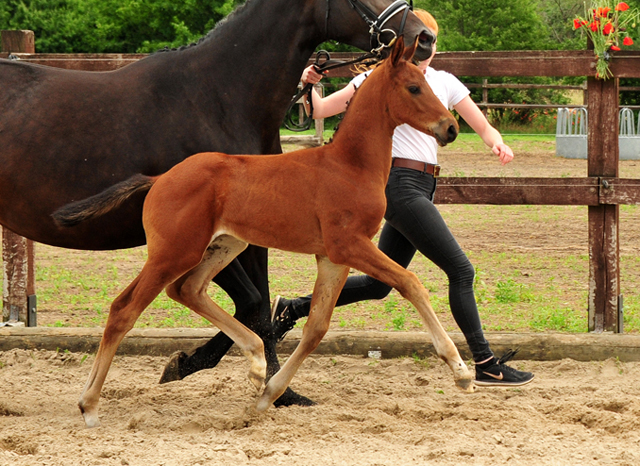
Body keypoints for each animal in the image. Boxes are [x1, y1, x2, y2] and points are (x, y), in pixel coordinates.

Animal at [52, 38, 476, 428]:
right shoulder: (350, 245)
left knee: (188, 290)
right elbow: (411, 283)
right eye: (414, 87)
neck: (349, 166)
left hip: (226, 244)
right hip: (173, 252)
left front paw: (269, 393)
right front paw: (460, 371)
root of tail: (160, 179)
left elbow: (317, 327)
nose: (452, 128)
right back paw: (89, 405)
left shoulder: (332, 257)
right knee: (125, 309)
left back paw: (256, 360)